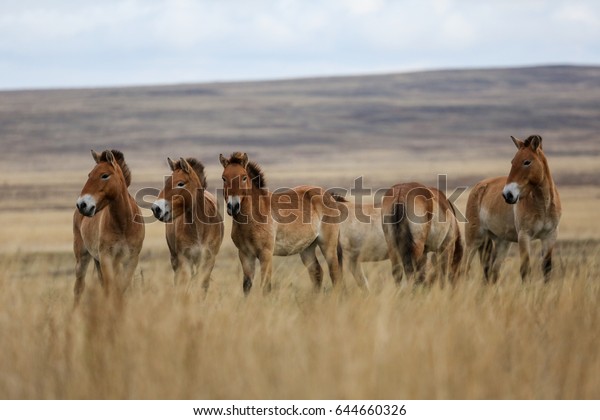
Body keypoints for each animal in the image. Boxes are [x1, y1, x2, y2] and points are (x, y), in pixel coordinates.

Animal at [73, 149, 145, 304]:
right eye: (89, 175)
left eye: (104, 175)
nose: (82, 204)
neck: (123, 224)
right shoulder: (106, 256)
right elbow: (111, 288)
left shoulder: (131, 258)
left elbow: (122, 287)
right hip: (82, 257)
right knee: (79, 288)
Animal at [151, 156, 224, 290]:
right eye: (166, 182)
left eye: (180, 183)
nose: (156, 209)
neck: (199, 229)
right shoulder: (184, 260)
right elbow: (184, 285)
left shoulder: (208, 260)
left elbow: (202, 285)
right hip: (174, 258)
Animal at [219, 153, 342, 294]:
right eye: (224, 178)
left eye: (244, 177)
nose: (233, 207)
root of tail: (328, 195)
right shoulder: (245, 254)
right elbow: (247, 286)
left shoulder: (266, 254)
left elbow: (266, 286)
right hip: (307, 248)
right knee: (317, 273)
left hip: (327, 245)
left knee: (335, 274)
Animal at [466, 135, 560, 284]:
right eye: (512, 162)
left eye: (527, 162)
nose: (507, 195)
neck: (543, 206)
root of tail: (478, 186)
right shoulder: (524, 236)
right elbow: (525, 270)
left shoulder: (550, 236)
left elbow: (547, 269)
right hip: (474, 238)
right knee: (463, 267)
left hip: (501, 242)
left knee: (493, 272)